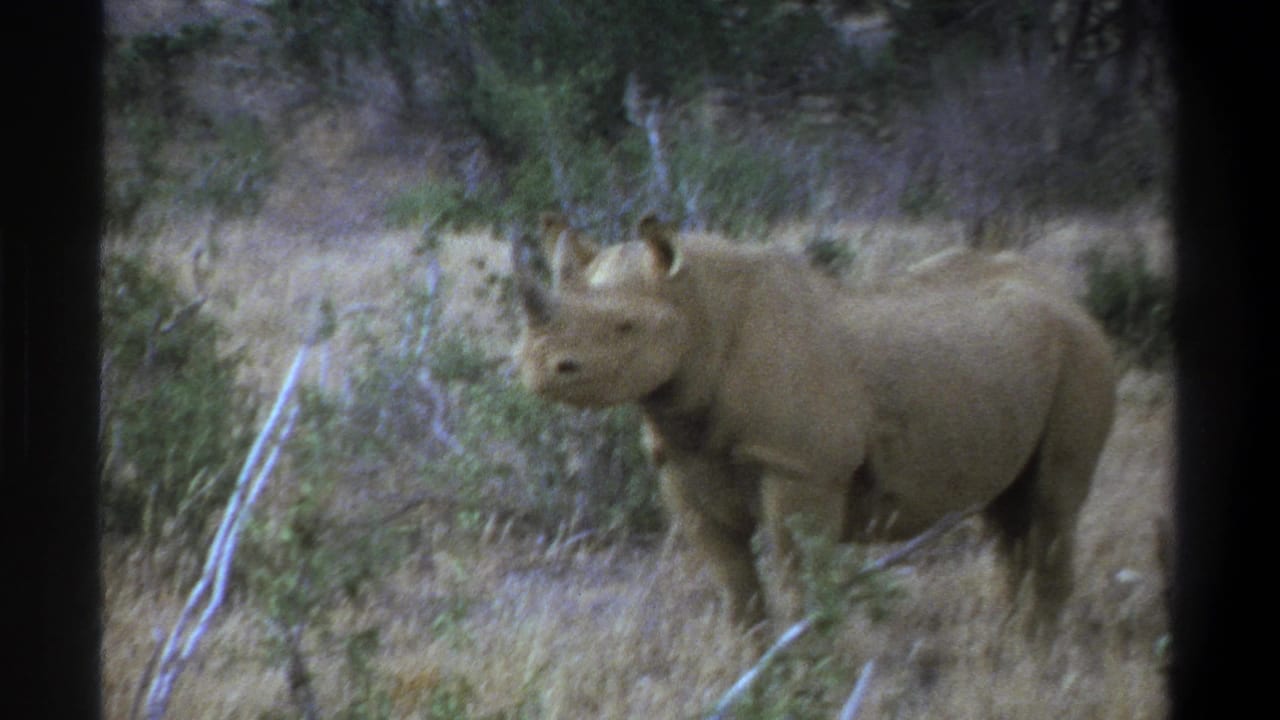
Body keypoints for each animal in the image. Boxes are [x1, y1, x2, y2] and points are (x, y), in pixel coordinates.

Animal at [511, 214, 1116, 632]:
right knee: (1006, 515)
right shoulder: (683, 460)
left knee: (1053, 504)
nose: (540, 368)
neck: (700, 310)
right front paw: (753, 673)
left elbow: (797, 575)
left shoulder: (802, 467)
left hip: (1083, 352)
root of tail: (1068, 297)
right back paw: (1004, 641)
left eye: (626, 327)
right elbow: (735, 587)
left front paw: (809, 674)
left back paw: (1038, 657)